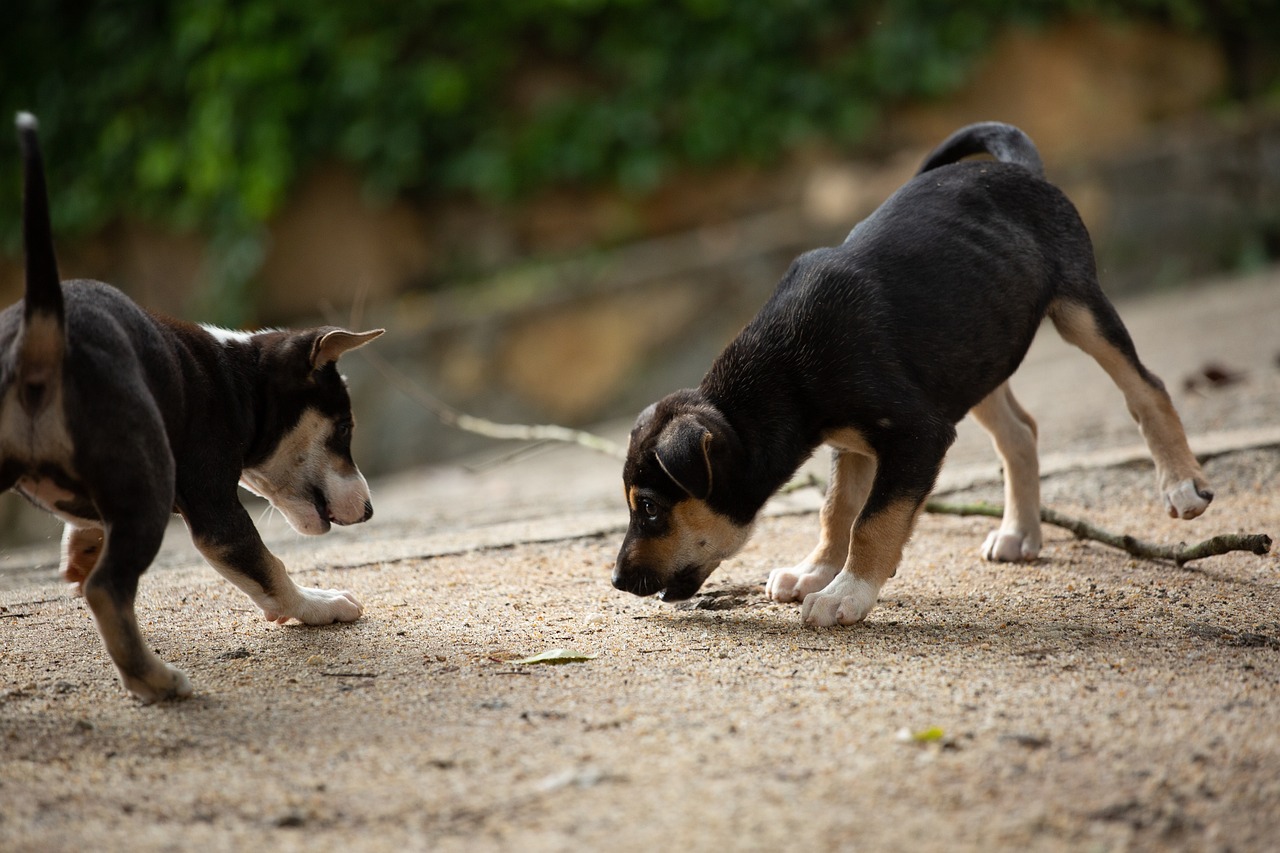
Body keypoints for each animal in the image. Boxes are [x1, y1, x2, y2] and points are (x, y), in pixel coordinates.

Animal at [5, 112, 384, 696]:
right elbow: (270, 568)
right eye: (343, 428)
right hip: (152, 485)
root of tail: (42, 339)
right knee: (108, 589)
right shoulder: (215, 510)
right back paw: (155, 681)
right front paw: (322, 604)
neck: (241, 379)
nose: (368, 511)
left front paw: (80, 548)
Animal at [614, 119, 1213, 625]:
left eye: (650, 508)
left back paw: (1182, 483)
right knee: (1020, 432)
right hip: (973, 357)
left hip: (1078, 309)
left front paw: (846, 593)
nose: (617, 580)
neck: (785, 372)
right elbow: (837, 509)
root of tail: (1018, 169)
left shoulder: (918, 435)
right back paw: (1019, 532)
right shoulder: (854, 443)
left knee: (1147, 387)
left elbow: (872, 522)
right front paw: (816, 571)